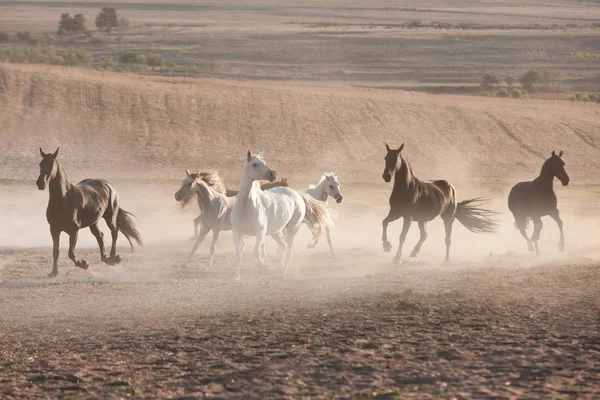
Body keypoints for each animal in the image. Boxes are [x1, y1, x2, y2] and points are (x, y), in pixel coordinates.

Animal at [36, 148, 143, 276]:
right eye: (40, 164)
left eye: (52, 165)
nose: (40, 183)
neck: (63, 199)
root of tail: (109, 186)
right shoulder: (54, 229)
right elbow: (55, 251)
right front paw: (54, 272)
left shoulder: (74, 230)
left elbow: (70, 253)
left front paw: (83, 264)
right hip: (94, 223)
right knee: (100, 236)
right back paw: (107, 259)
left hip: (110, 217)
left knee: (114, 232)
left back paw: (113, 257)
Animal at [231, 152, 332, 280]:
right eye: (255, 164)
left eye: (265, 162)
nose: (273, 174)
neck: (245, 206)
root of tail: (296, 194)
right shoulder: (236, 233)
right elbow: (239, 253)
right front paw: (237, 277)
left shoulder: (260, 233)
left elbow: (256, 251)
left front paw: (263, 264)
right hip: (276, 232)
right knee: (283, 247)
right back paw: (279, 268)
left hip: (292, 229)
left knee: (288, 250)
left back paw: (283, 271)